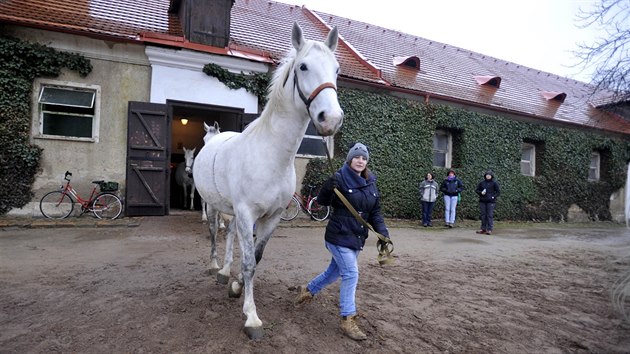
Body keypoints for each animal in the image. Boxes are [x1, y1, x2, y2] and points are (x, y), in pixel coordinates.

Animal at [194, 23, 346, 338]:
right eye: (303, 66)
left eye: (336, 69)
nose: (331, 118)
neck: (271, 155)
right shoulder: (246, 213)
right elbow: (249, 263)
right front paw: (251, 317)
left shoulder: (272, 217)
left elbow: (257, 256)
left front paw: (236, 286)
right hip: (213, 206)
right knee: (215, 233)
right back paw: (215, 267)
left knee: (230, 235)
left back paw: (225, 272)